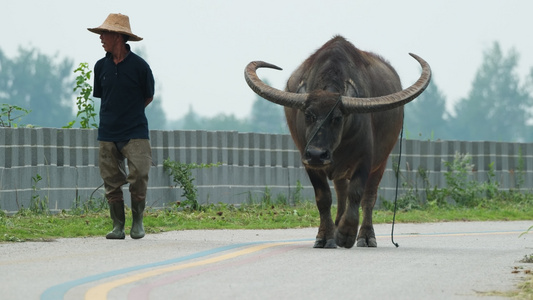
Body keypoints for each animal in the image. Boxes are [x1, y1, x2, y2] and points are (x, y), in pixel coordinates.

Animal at [243, 35, 430, 248]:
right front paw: (325, 236)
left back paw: (366, 236)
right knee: (341, 191)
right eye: (308, 115)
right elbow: (324, 197)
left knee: (368, 197)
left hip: (381, 162)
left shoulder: (365, 159)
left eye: (337, 118)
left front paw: (346, 234)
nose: (317, 154)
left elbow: (357, 194)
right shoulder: (308, 161)